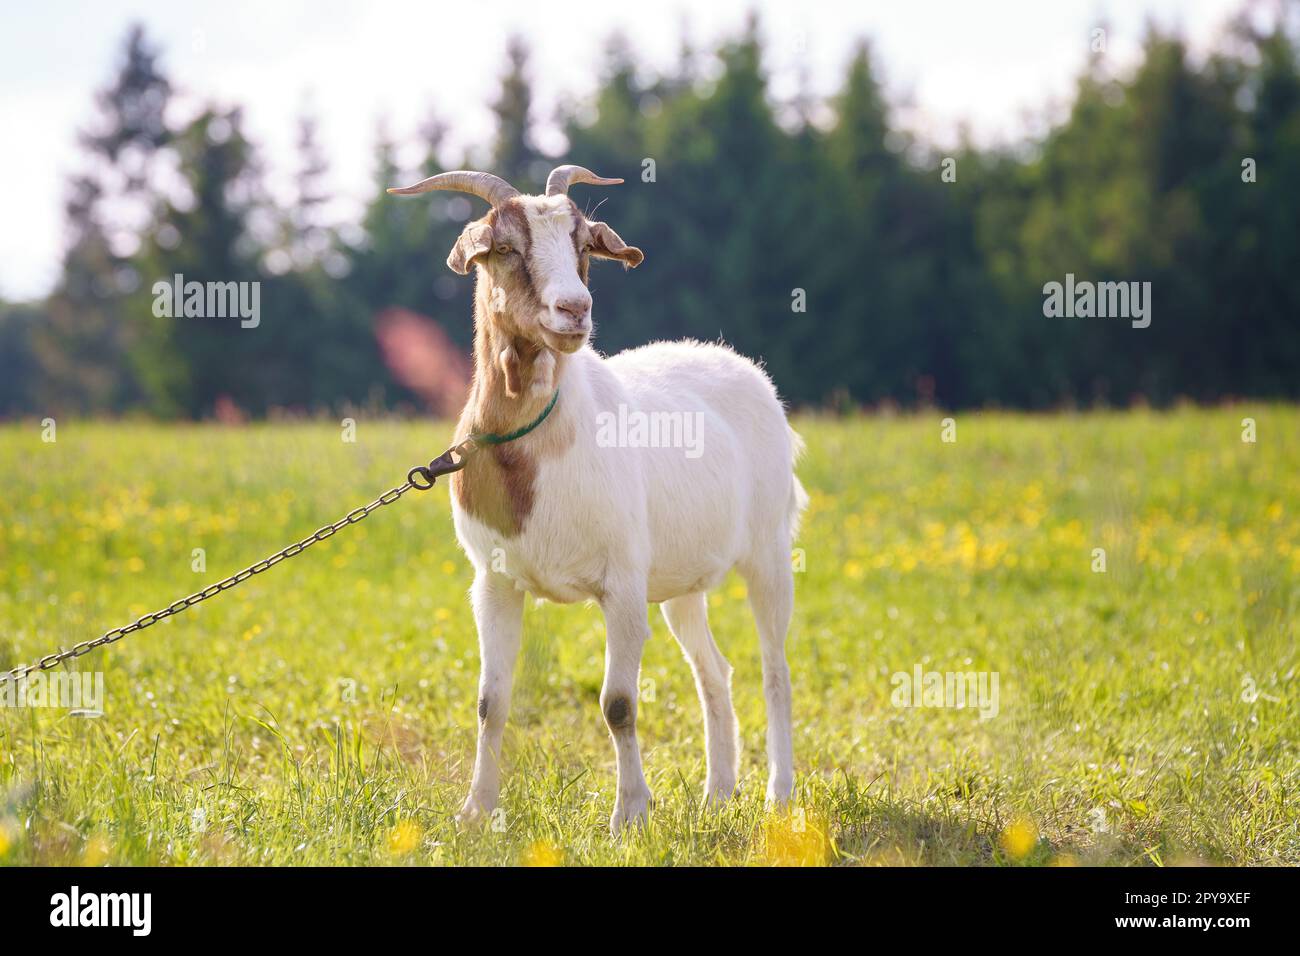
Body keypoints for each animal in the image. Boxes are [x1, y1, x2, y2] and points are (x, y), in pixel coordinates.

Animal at [388, 166, 807, 834]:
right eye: (504, 247)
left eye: (584, 244)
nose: (574, 310)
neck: (536, 450)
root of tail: (745, 370)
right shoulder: (494, 581)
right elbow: (490, 702)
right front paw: (475, 811)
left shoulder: (623, 583)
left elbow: (618, 704)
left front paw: (630, 814)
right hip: (681, 582)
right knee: (713, 670)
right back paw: (718, 793)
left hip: (767, 553)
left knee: (775, 670)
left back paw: (779, 796)